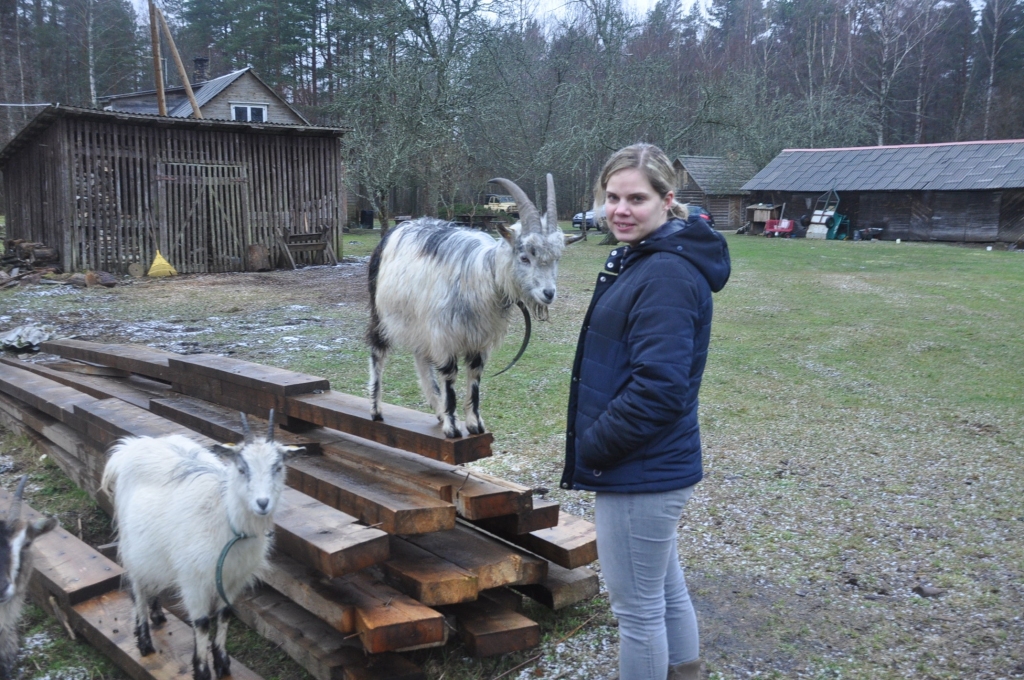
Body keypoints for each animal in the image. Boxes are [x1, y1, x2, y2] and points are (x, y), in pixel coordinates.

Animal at [100, 411, 299, 680]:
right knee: (138, 587)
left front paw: (222, 664)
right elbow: (202, 623)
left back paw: (157, 615)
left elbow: (224, 615)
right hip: (131, 543)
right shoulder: (193, 579)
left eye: (278, 467)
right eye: (241, 468)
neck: (226, 520)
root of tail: (131, 446)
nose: (262, 503)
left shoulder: (233, 578)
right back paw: (144, 641)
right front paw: (203, 670)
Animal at [368, 175, 581, 438]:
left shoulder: (478, 339)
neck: (483, 275)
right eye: (524, 257)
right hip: (381, 313)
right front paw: (452, 427)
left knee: (421, 358)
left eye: (556, 258)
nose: (548, 293)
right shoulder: (446, 336)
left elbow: (475, 376)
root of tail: (399, 227)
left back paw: (437, 410)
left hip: (419, 322)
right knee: (378, 352)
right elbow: (450, 377)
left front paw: (474, 424)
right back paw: (376, 410)